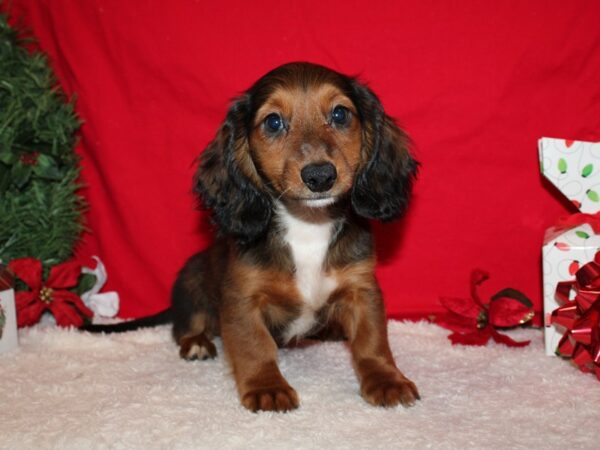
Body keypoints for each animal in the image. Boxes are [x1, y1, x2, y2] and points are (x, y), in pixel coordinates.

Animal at [171, 61, 420, 414]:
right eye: (273, 122)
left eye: (340, 114)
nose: (320, 176)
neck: (308, 224)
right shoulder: (242, 299)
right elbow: (255, 345)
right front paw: (267, 387)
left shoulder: (362, 289)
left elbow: (372, 341)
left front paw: (387, 380)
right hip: (191, 280)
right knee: (185, 326)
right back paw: (196, 343)